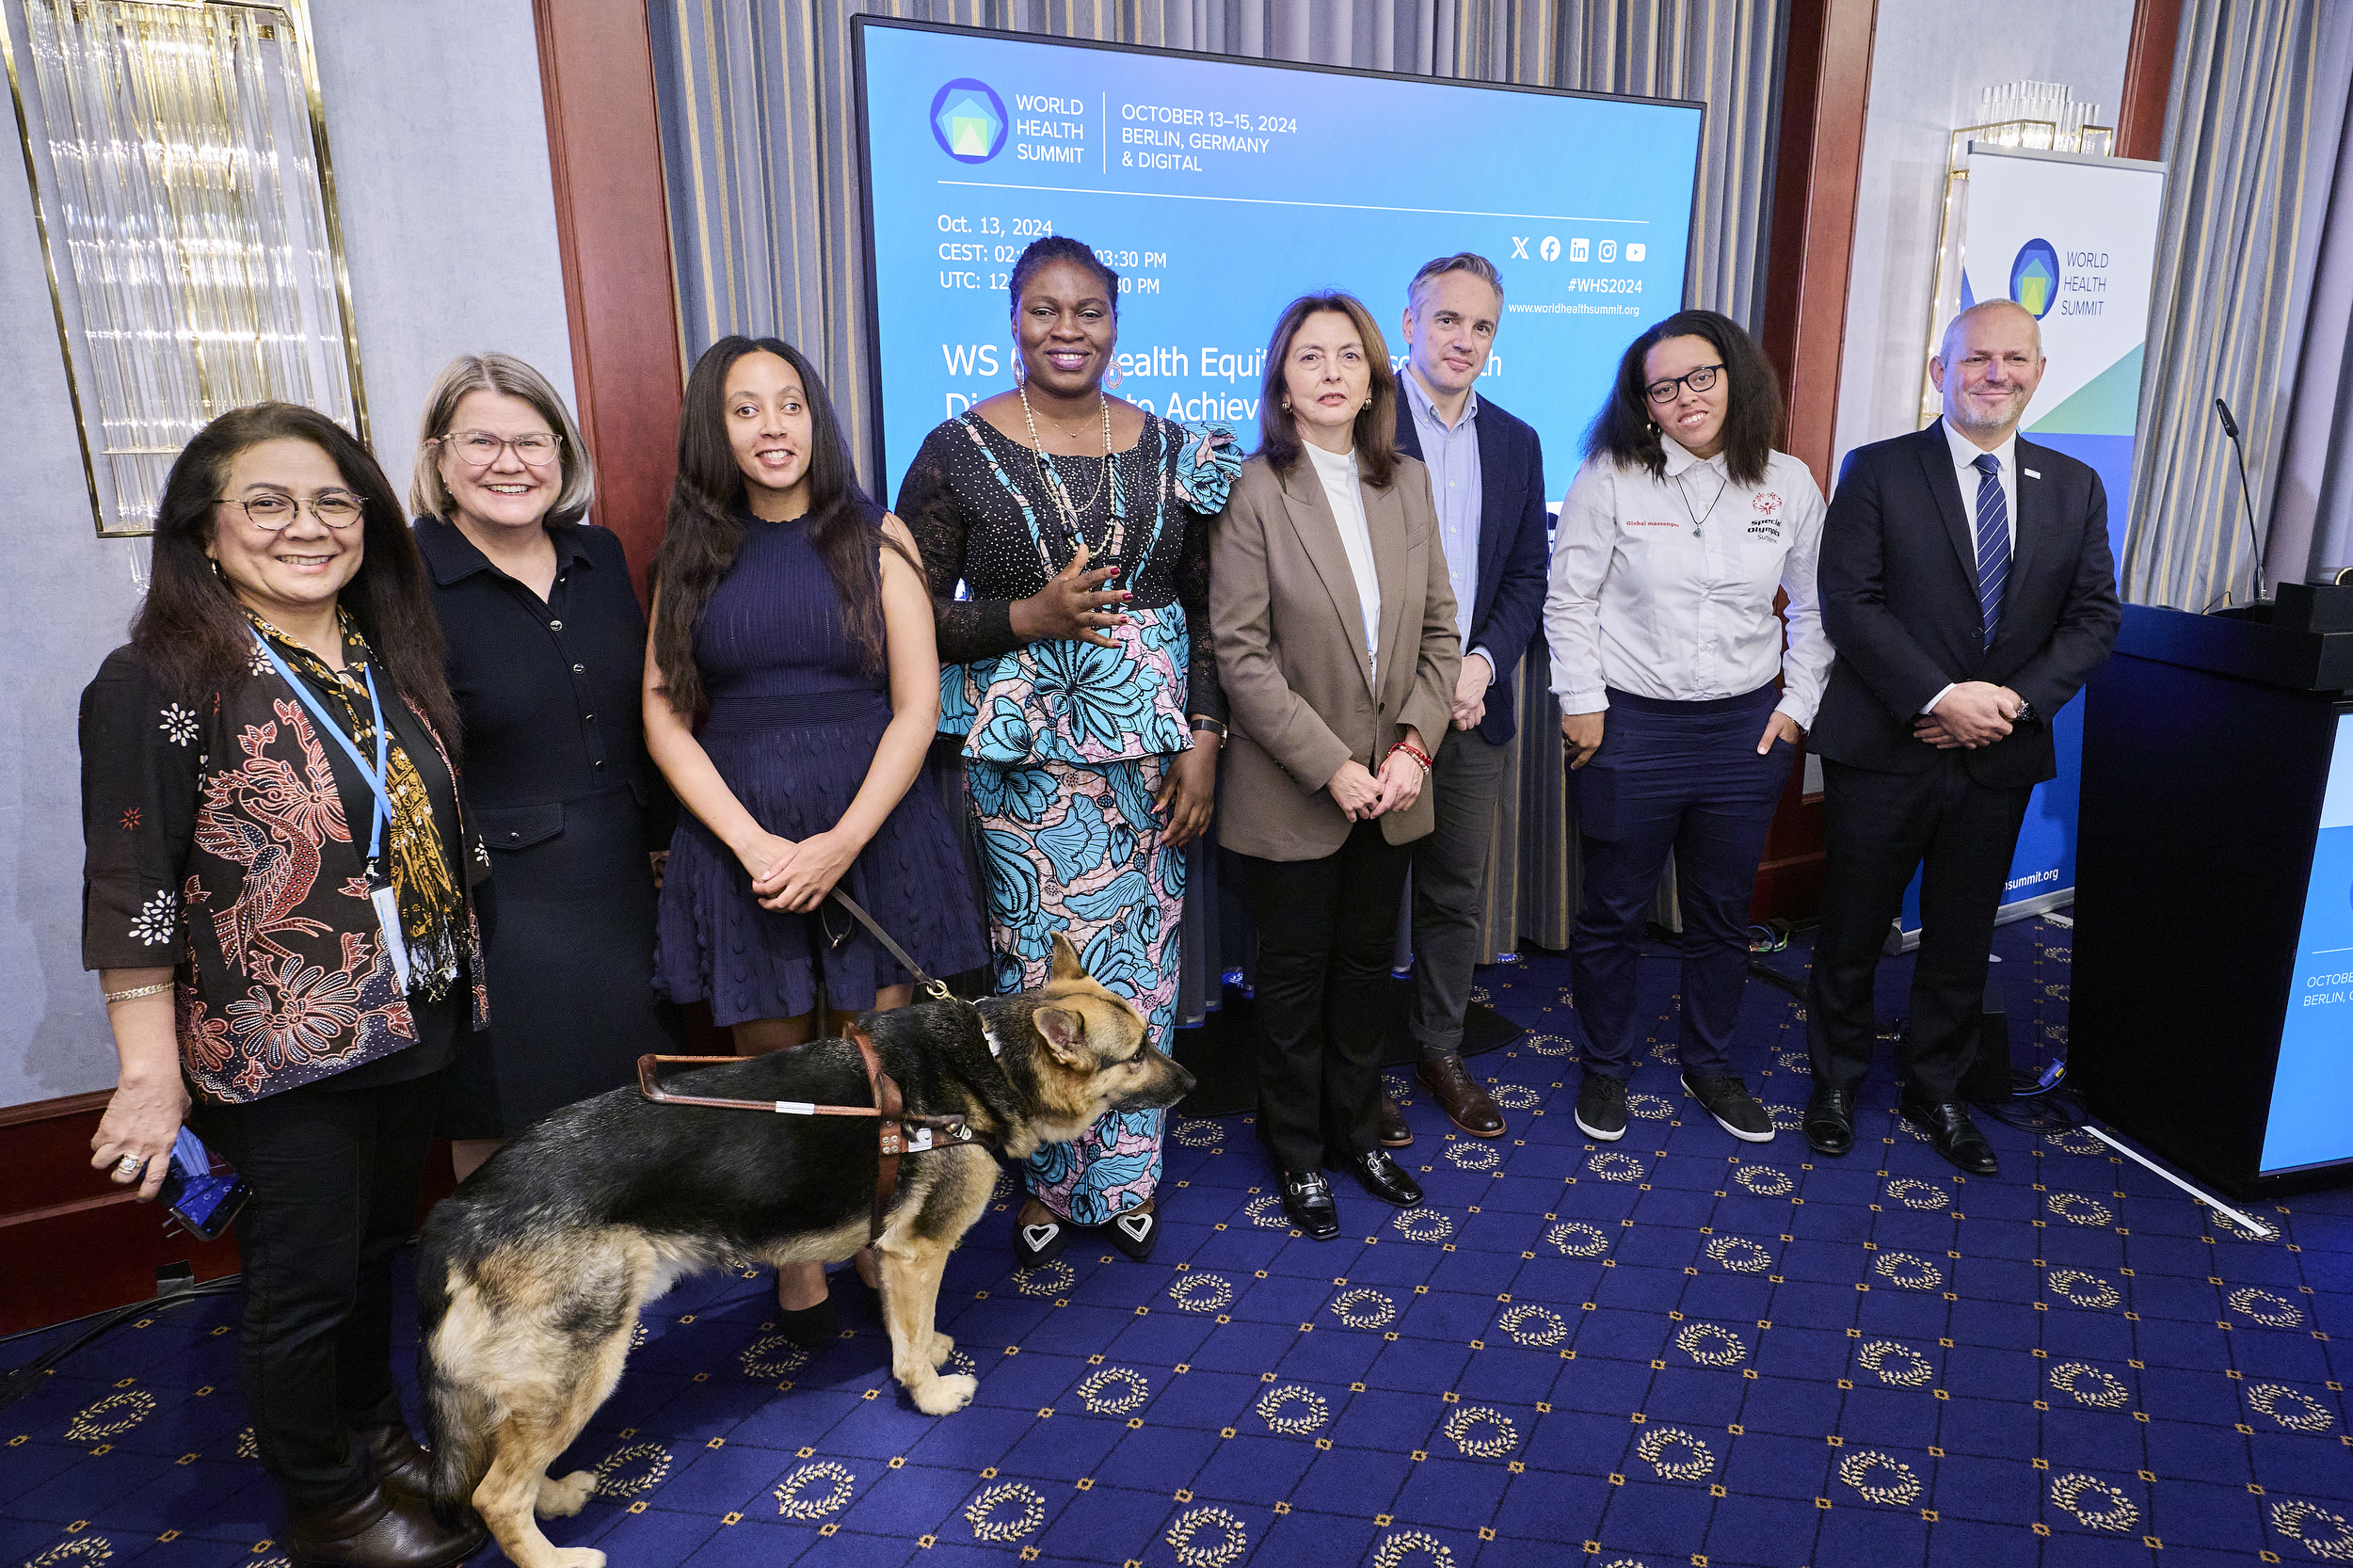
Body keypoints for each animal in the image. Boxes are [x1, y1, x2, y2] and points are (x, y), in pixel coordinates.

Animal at [414, 932, 1195, 1553]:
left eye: (1149, 1037)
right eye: (1137, 1053)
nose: (1191, 1079)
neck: (992, 1057)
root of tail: (460, 1207)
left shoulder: (894, 1251)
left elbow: (908, 1325)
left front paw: (927, 1348)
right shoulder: (919, 1250)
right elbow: (910, 1344)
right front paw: (931, 1393)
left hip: (543, 1380)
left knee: (501, 1466)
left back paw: (555, 1497)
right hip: (585, 1363)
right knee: (493, 1495)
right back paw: (557, 1557)